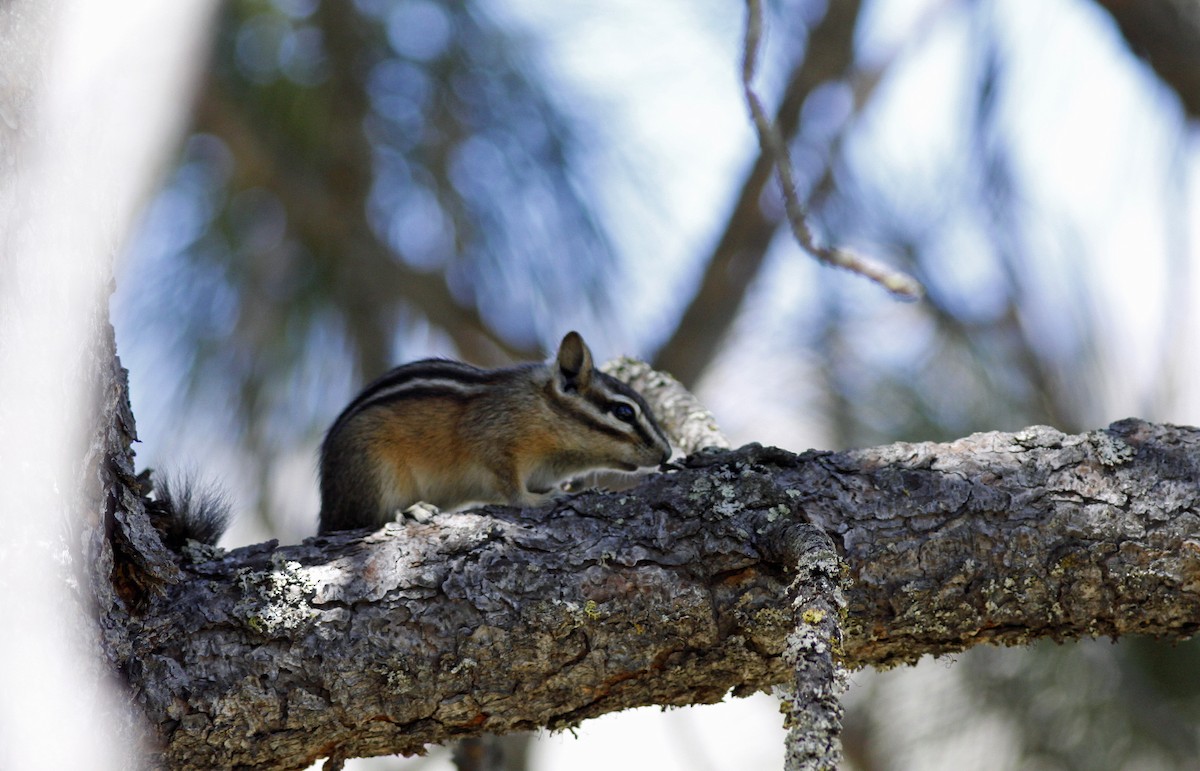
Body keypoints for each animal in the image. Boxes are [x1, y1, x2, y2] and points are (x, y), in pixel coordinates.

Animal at [317, 331, 672, 533]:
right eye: (624, 412)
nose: (667, 453)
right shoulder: (493, 445)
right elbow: (510, 486)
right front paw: (538, 500)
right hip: (373, 471)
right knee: (366, 518)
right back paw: (410, 510)